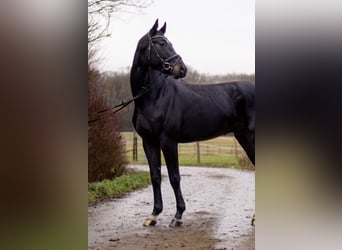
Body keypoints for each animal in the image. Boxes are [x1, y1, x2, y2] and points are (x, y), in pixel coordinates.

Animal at [131, 19, 254, 227]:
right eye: (161, 43)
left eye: (168, 42)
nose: (182, 69)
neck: (152, 97)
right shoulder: (149, 141)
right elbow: (155, 176)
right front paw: (154, 215)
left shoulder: (168, 141)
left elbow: (174, 177)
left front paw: (178, 216)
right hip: (243, 136)